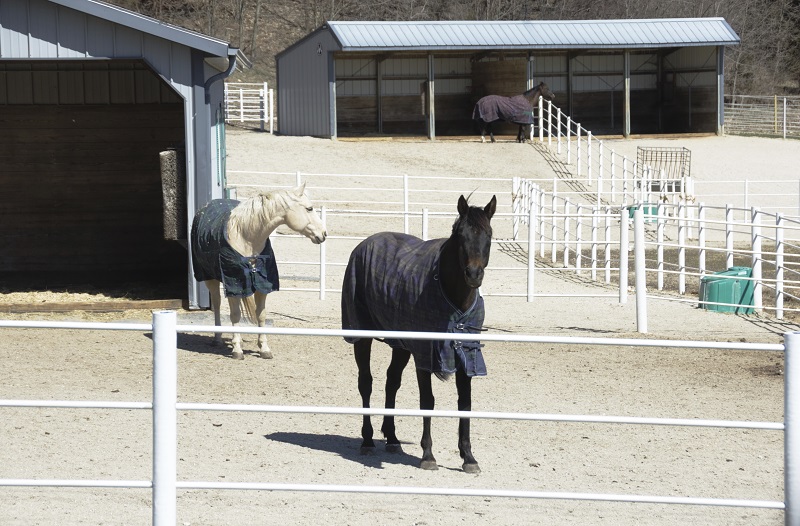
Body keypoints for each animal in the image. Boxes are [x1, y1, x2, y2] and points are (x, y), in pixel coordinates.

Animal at [190, 184, 327, 360]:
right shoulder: (234, 285)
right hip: (211, 280)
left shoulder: (262, 286)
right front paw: (237, 350)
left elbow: (261, 315)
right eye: (309, 208)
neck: (246, 238)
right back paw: (218, 338)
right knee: (218, 304)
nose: (324, 234)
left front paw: (264, 348)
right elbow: (235, 315)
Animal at [341, 194, 497, 473]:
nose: (473, 274)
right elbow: (428, 401)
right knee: (366, 383)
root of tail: (363, 245)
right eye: (460, 235)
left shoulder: (467, 354)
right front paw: (428, 455)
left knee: (391, 381)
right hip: (362, 337)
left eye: (488, 234)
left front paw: (468, 457)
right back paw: (368, 440)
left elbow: (465, 404)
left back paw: (392, 438)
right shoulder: (425, 355)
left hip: (401, 345)